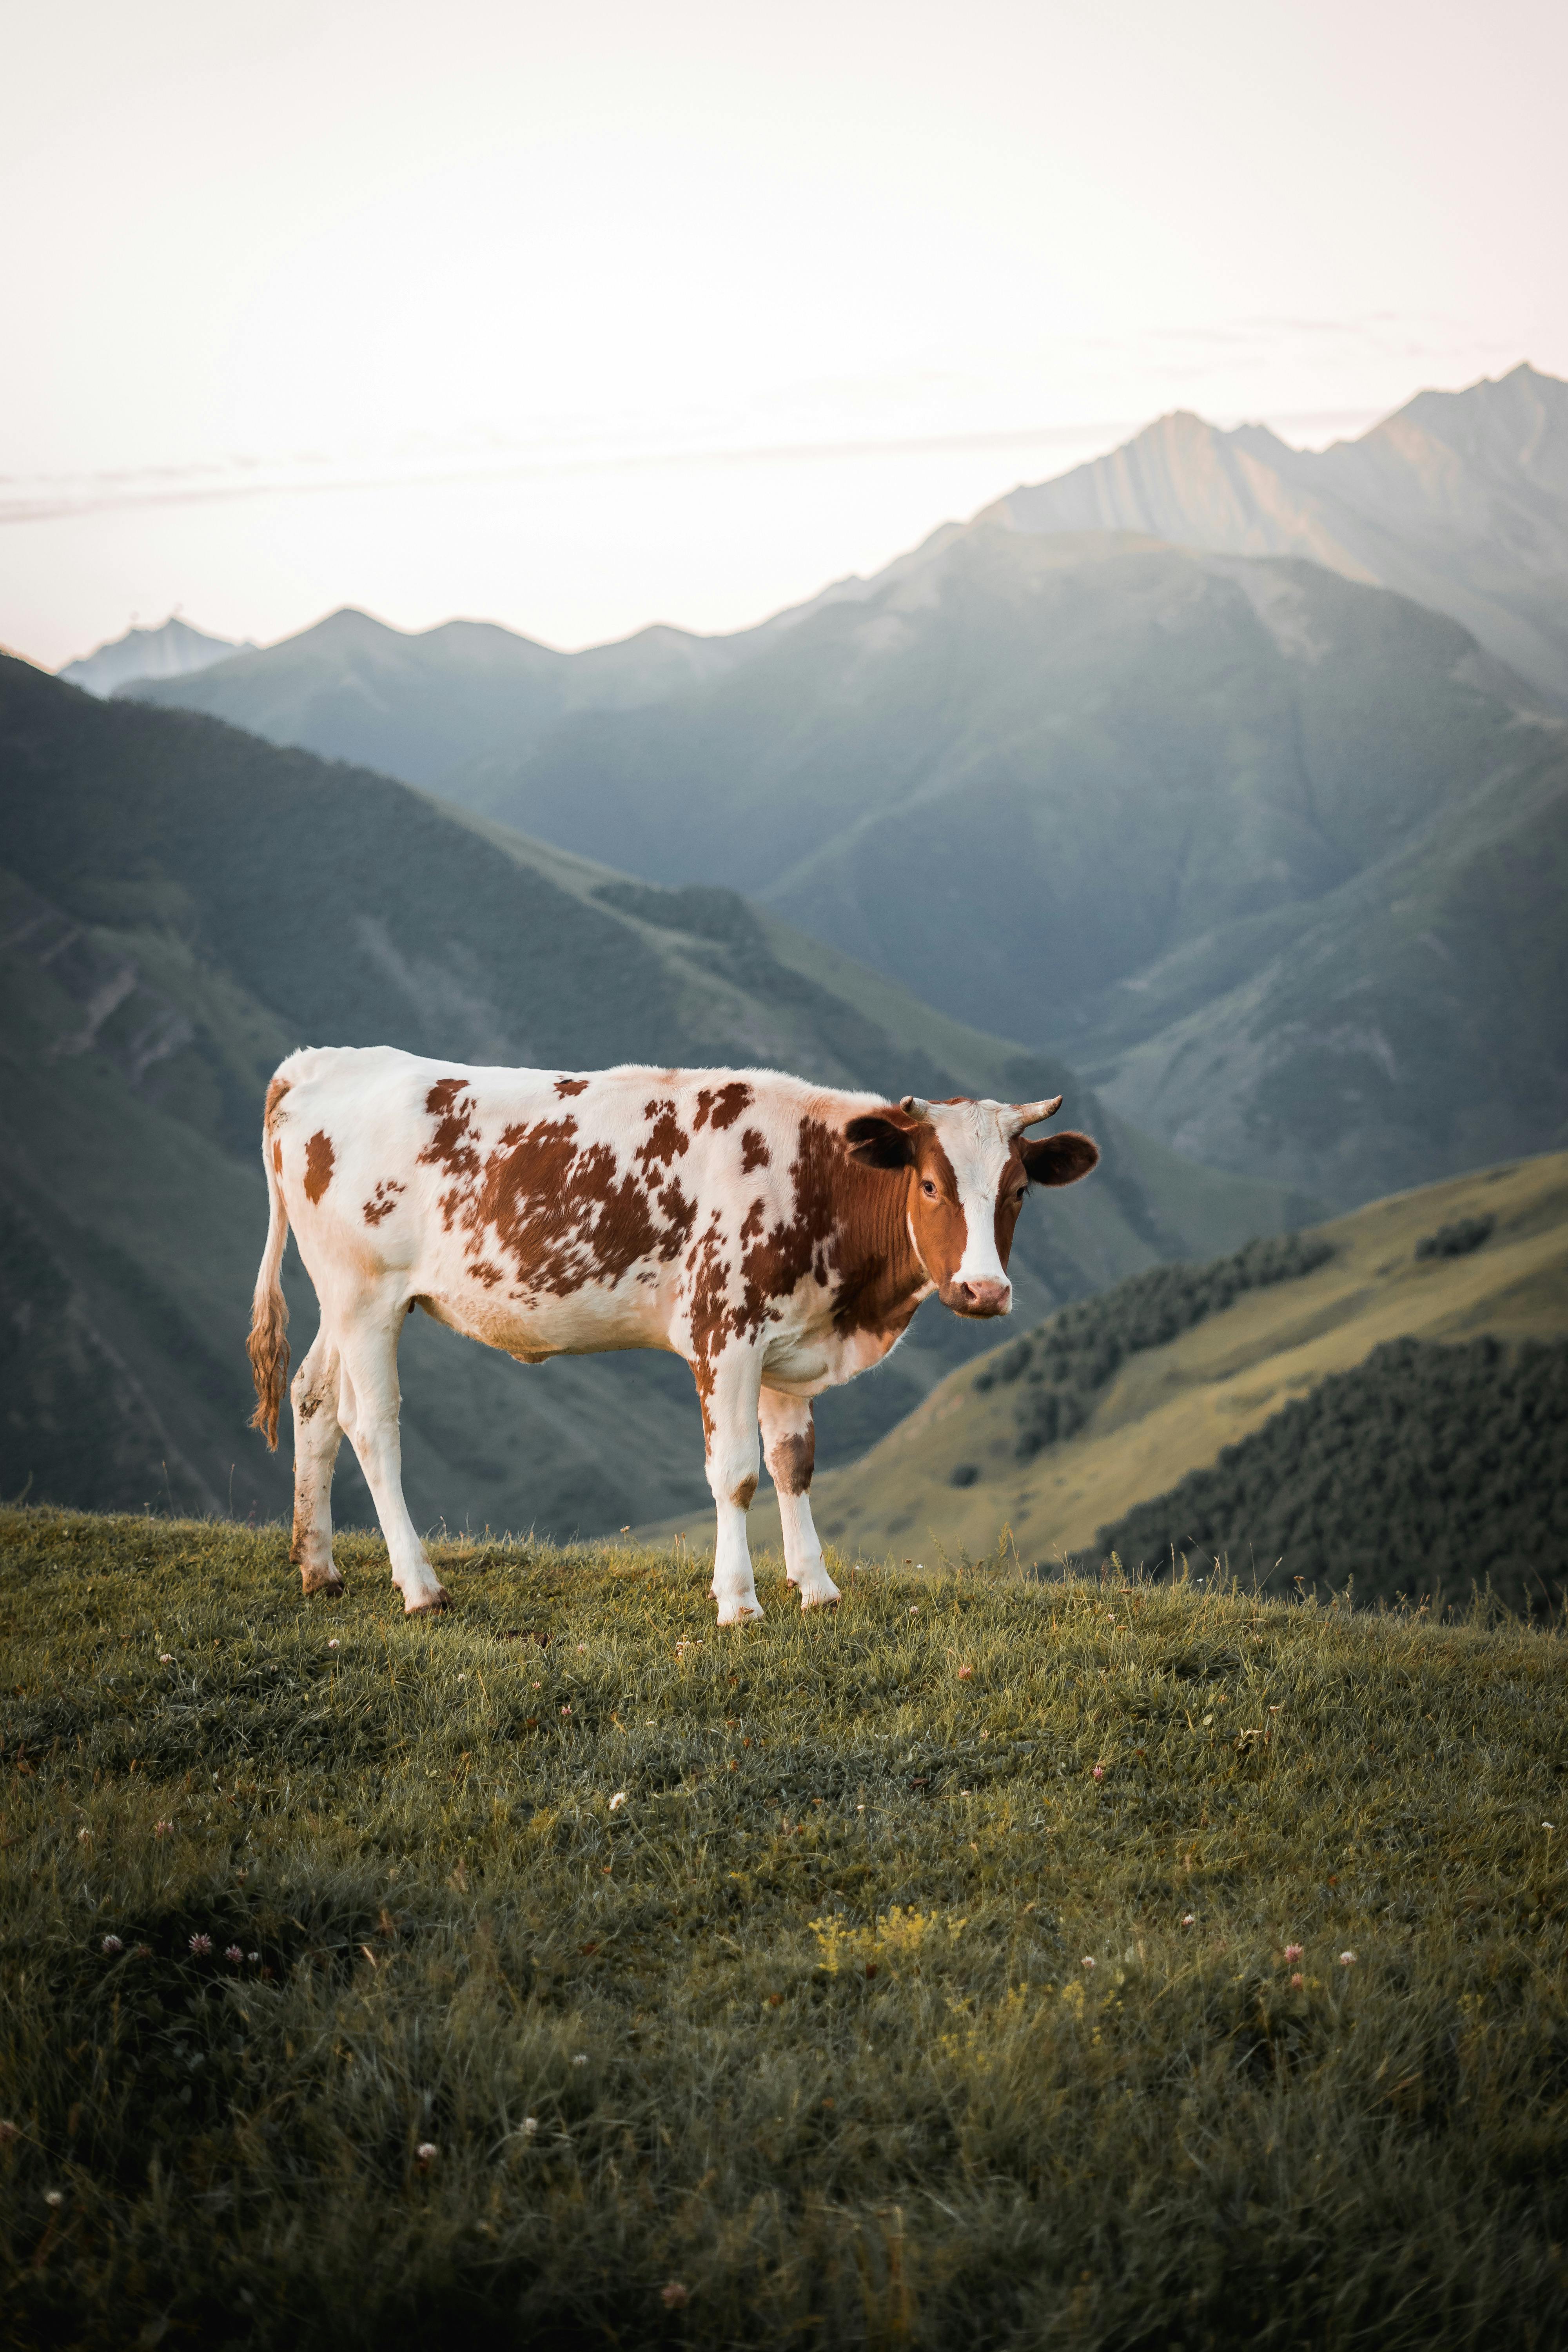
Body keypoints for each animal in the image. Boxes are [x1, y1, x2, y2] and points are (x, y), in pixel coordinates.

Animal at [248, 1058, 1105, 1628]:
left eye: (1019, 1192)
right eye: (929, 1185)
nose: (984, 1291)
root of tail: (321, 1063)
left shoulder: (786, 1340)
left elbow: (794, 1465)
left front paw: (816, 1587)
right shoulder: (724, 1332)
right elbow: (736, 1474)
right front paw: (739, 1601)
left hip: (340, 1295)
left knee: (313, 1398)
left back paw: (317, 1567)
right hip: (368, 1295)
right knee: (372, 1426)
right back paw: (420, 1586)